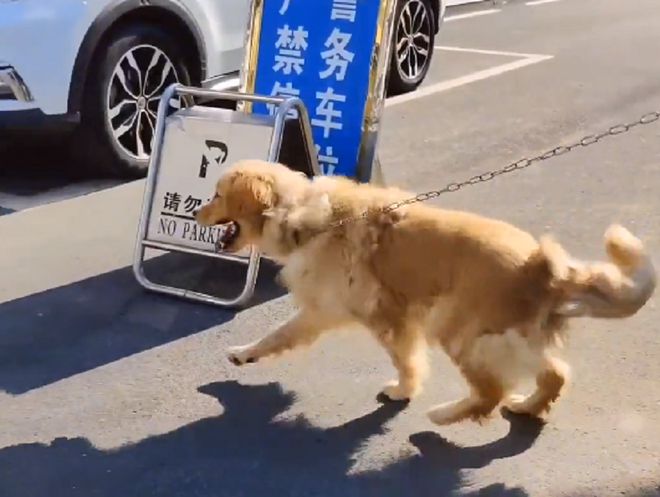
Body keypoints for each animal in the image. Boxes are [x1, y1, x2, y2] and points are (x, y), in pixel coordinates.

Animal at [195, 161, 656, 424]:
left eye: (217, 194)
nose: (193, 209)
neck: (301, 216)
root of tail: (542, 263)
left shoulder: (380, 316)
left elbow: (405, 361)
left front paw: (404, 390)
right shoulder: (327, 310)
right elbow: (279, 335)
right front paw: (245, 354)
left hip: (461, 329)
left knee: (490, 394)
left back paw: (444, 416)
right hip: (509, 335)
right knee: (554, 373)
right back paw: (527, 407)